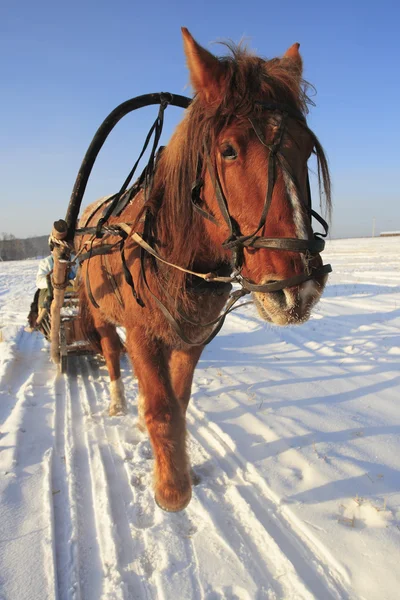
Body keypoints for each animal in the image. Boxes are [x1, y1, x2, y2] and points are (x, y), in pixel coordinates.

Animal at [76, 28, 332, 512]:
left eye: (308, 149)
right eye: (228, 150)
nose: (297, 289)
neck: (172, 258)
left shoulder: (192, 336)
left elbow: (178, 401)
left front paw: (181, 468)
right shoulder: (142, 332)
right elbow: (160, 407)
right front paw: (171, 490)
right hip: (99, 311)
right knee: (111, 352)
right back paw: (118, 402)